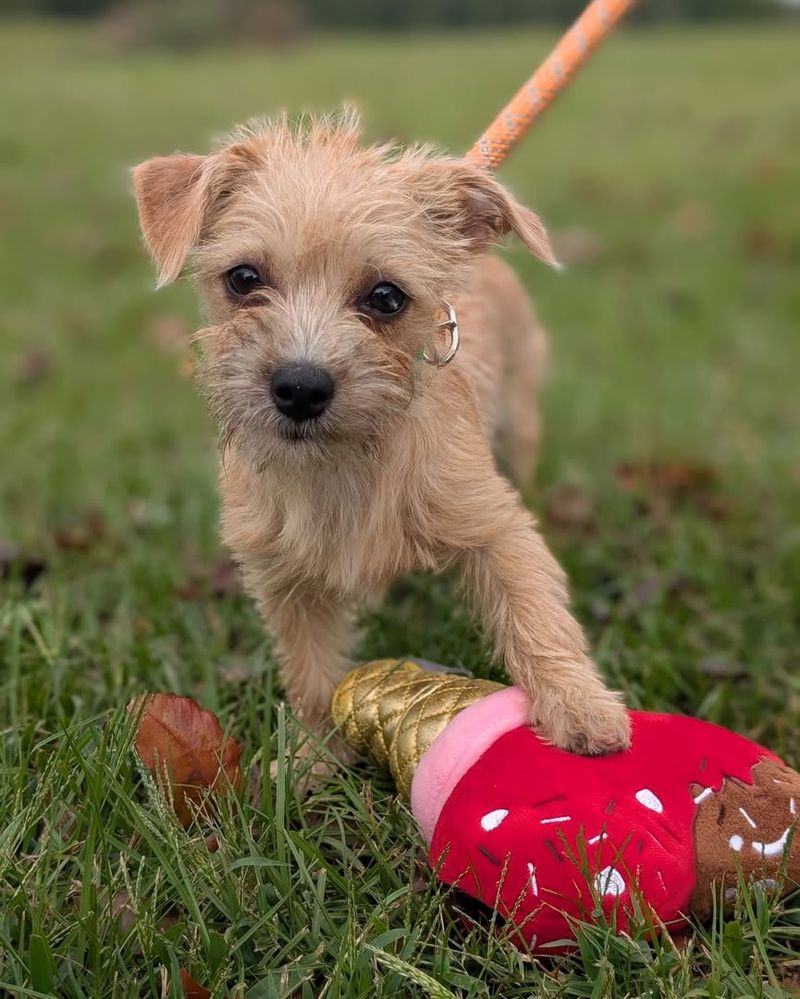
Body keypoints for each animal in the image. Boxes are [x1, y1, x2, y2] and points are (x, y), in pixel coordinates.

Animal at [133, 113, 632, 756]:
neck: (345, 465)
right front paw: (316, 757)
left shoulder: (495, 526)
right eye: (243, 279)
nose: (300, 386)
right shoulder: (283, 577)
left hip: (520, 428)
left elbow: (537, 617)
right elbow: (312, 675)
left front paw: (579, 706)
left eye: (387, 297)